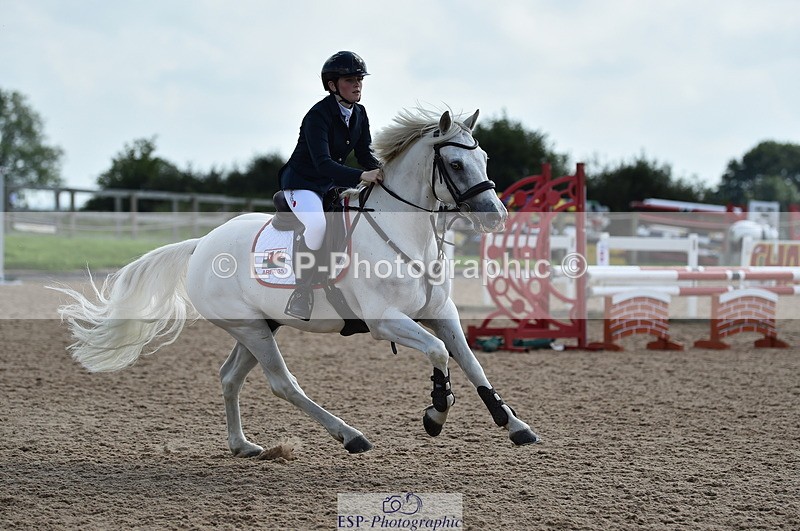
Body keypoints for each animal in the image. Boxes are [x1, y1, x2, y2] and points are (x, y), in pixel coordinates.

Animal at [53, 107, 542, 456]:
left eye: (483, 158)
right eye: (455, 163)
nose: (496, 217)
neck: (407, 235)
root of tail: (201, 244)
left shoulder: (441, 312)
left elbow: (471, 362)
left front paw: (515, 425)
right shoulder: (385, 320)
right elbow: (441, 353)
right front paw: (436, 415)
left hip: (260, 325)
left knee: (230, 376)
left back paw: (243, 445)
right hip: (251, 329)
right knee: (282, 383)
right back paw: (350, 436)